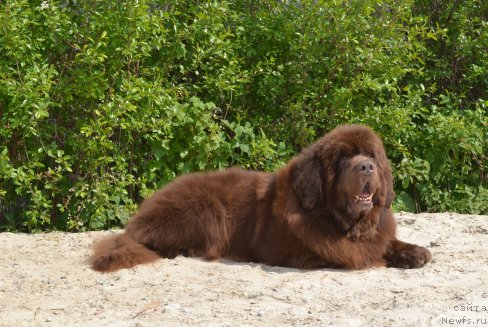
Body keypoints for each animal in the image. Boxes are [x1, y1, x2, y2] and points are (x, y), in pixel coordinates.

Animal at [88, 124, 430, 272]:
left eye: (371, 156)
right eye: (343, 158)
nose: (366, 167)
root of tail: (139, 215)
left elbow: (386, 242)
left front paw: (412, 252)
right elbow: (343, 254)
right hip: (206, 207)